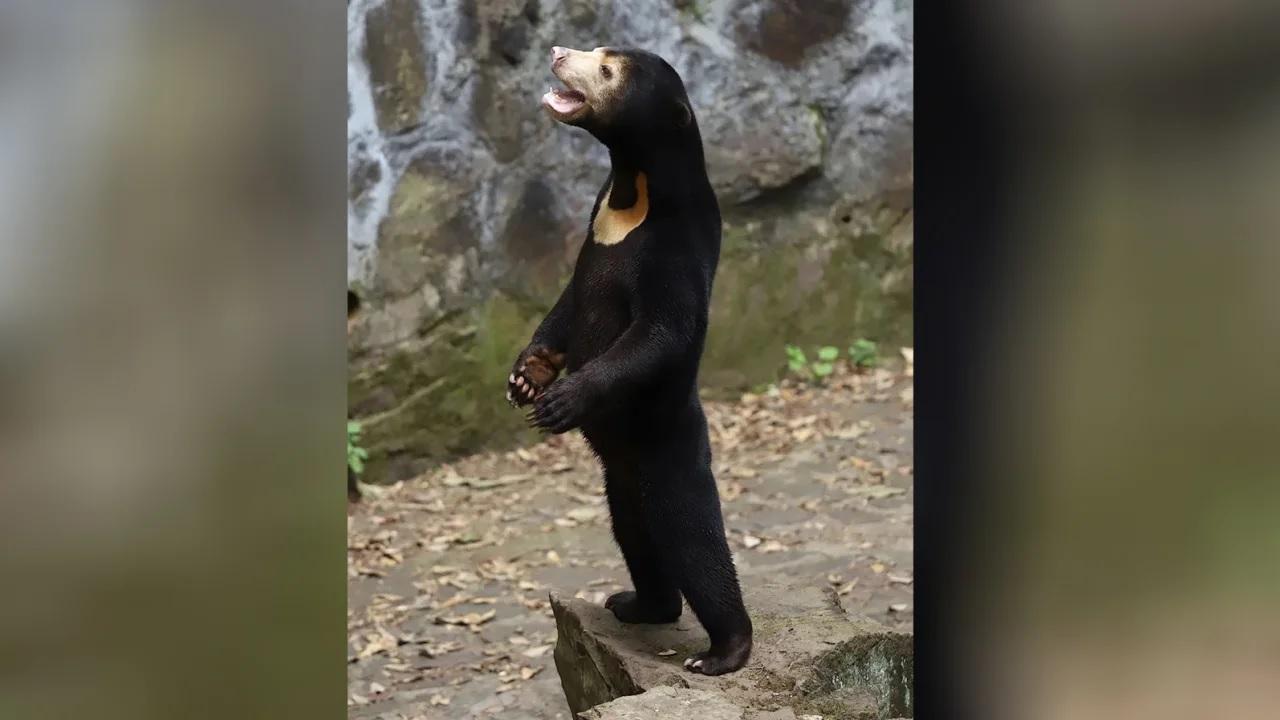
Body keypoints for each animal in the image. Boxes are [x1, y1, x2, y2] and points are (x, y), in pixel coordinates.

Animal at [506, 45, 753, 675]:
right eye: (598, 49)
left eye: (607, 70)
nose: (556, 51)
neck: (631, 188)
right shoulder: (593, 230)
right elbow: (568, 303)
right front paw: (525, 378)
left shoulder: (673, 246)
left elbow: (661, 331)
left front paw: (560, 401)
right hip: (620, 480)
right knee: (635, 535)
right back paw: (638, 604)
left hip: (667, 451)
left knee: (693, 540)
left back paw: (724, 651)